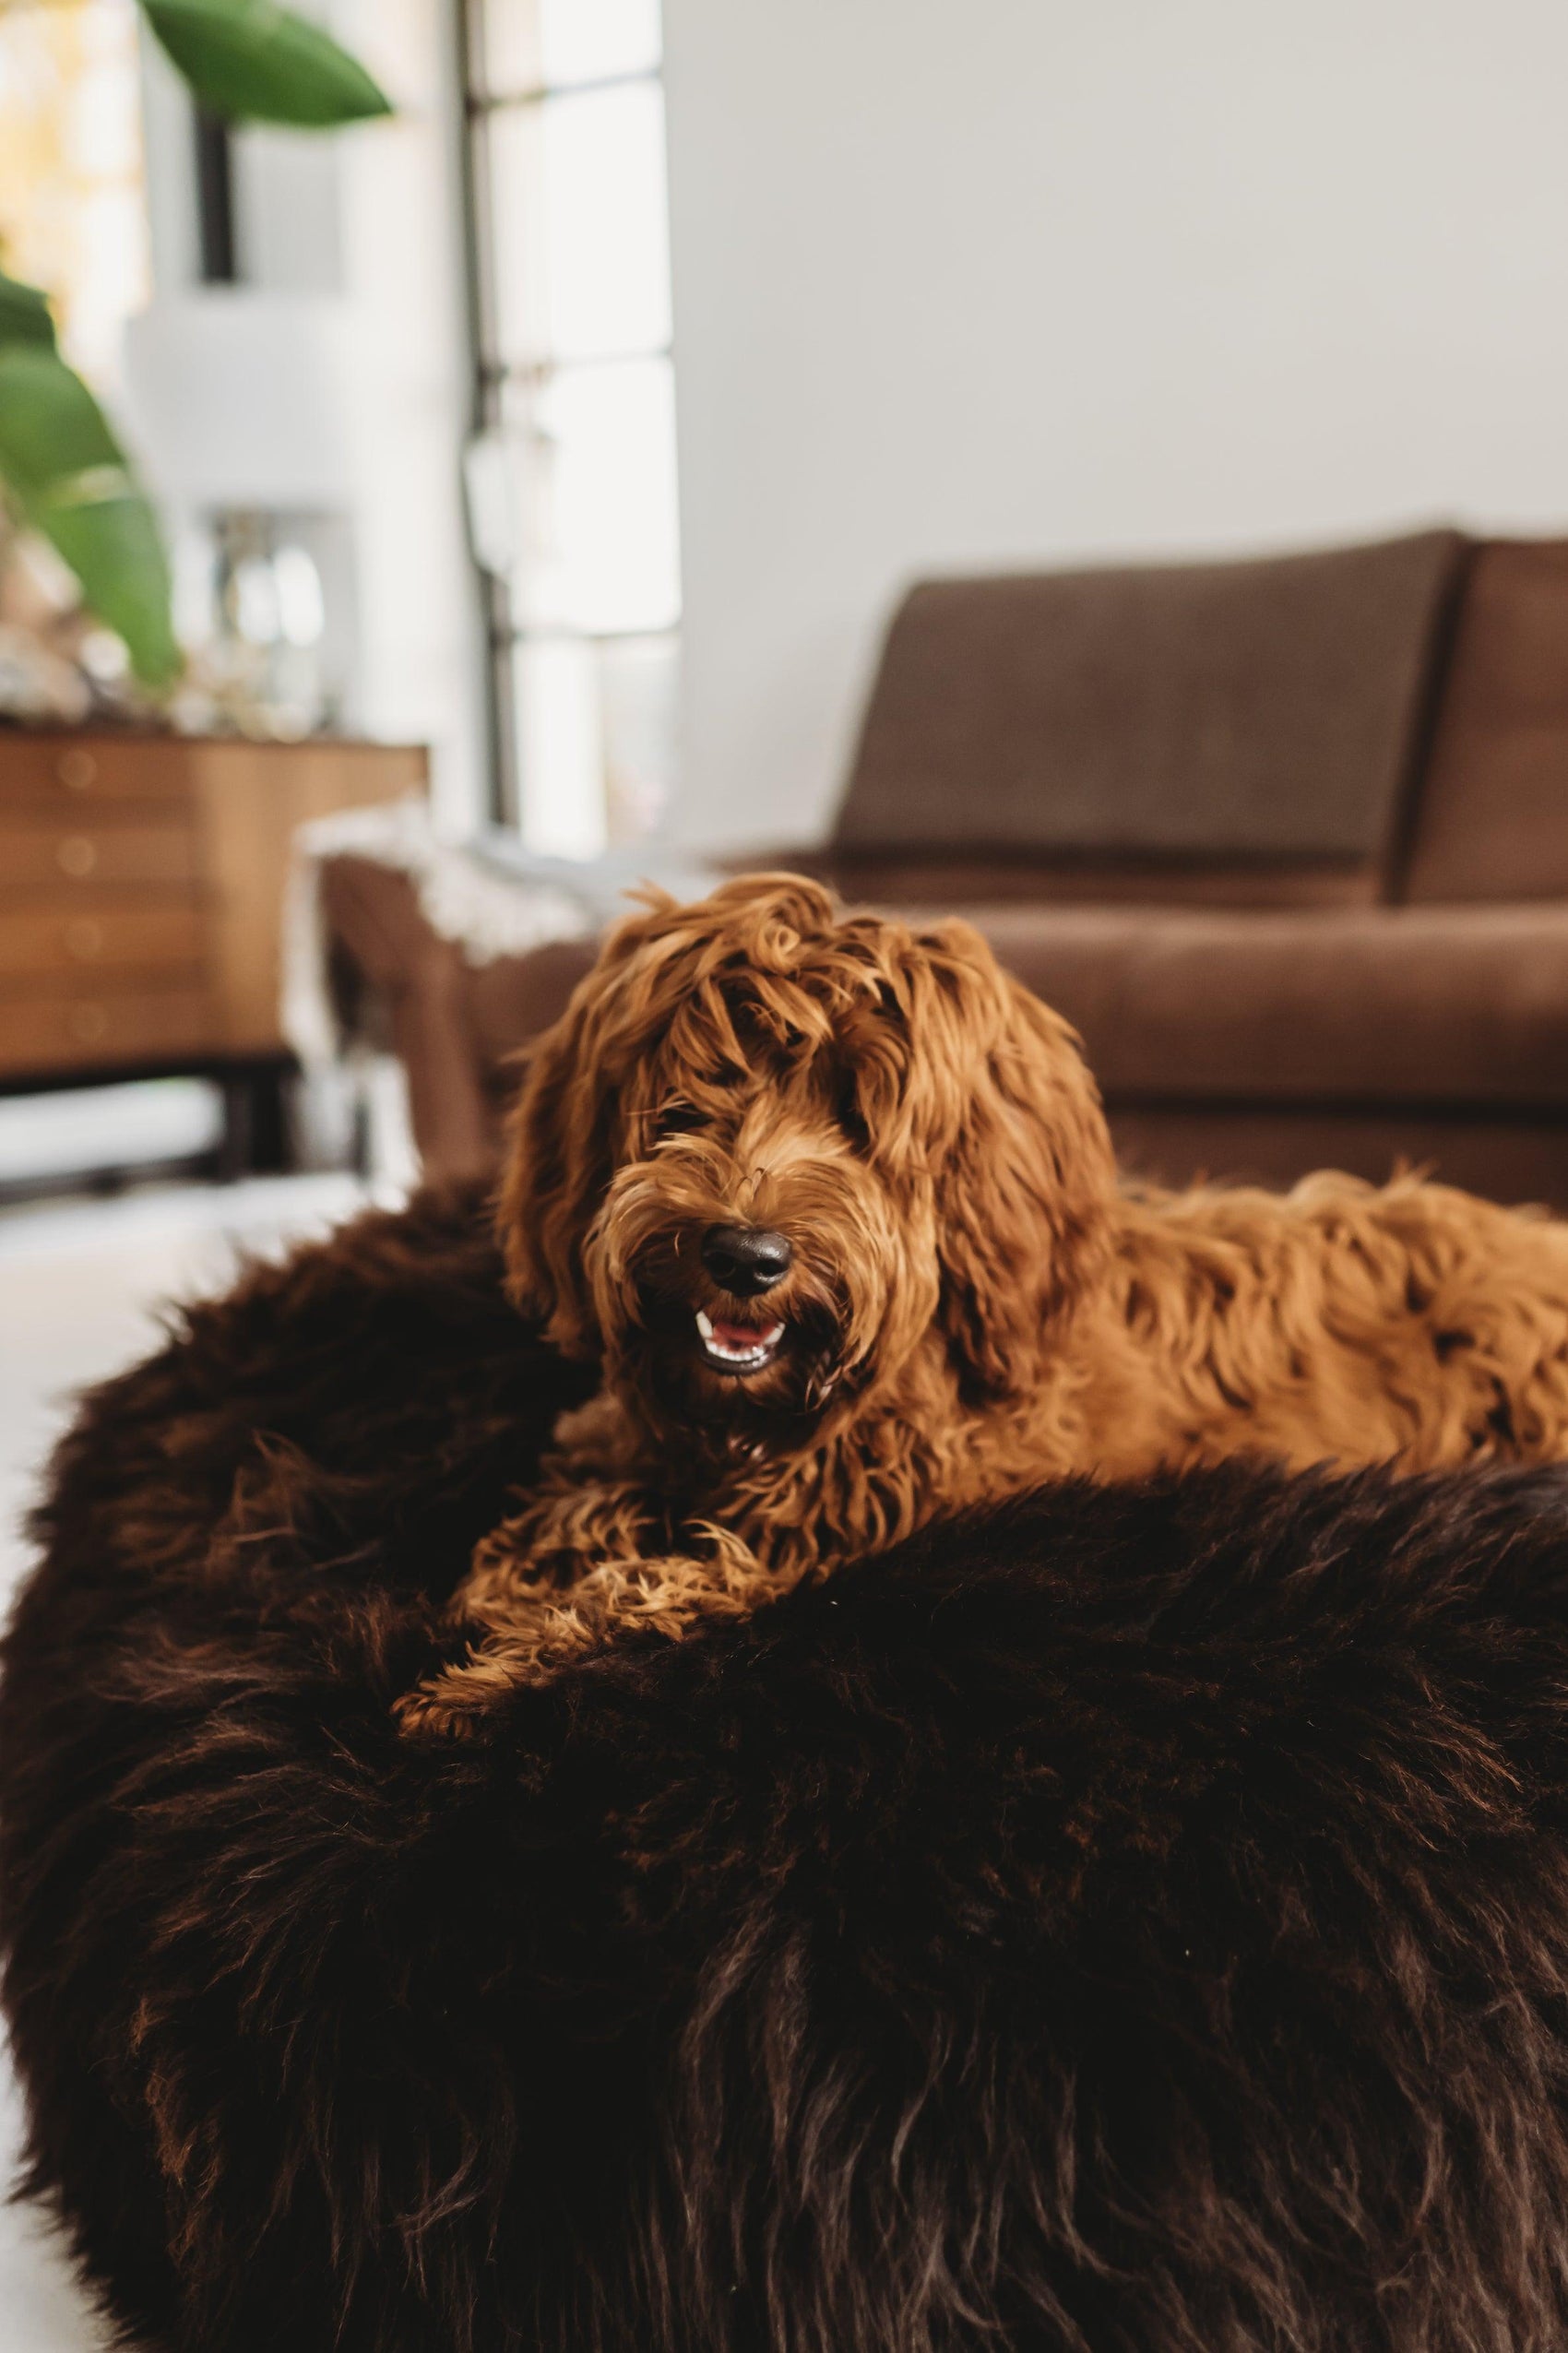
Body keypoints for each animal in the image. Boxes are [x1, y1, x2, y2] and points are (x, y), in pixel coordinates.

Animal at [393, 880, 1568, 1731]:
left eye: (858, 1120)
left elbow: (683, 1577)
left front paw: (489, 1675)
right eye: (691, 1097)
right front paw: (504, 1587)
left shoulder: (860, 1526)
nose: (743, 1253)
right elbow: (556, 1503)